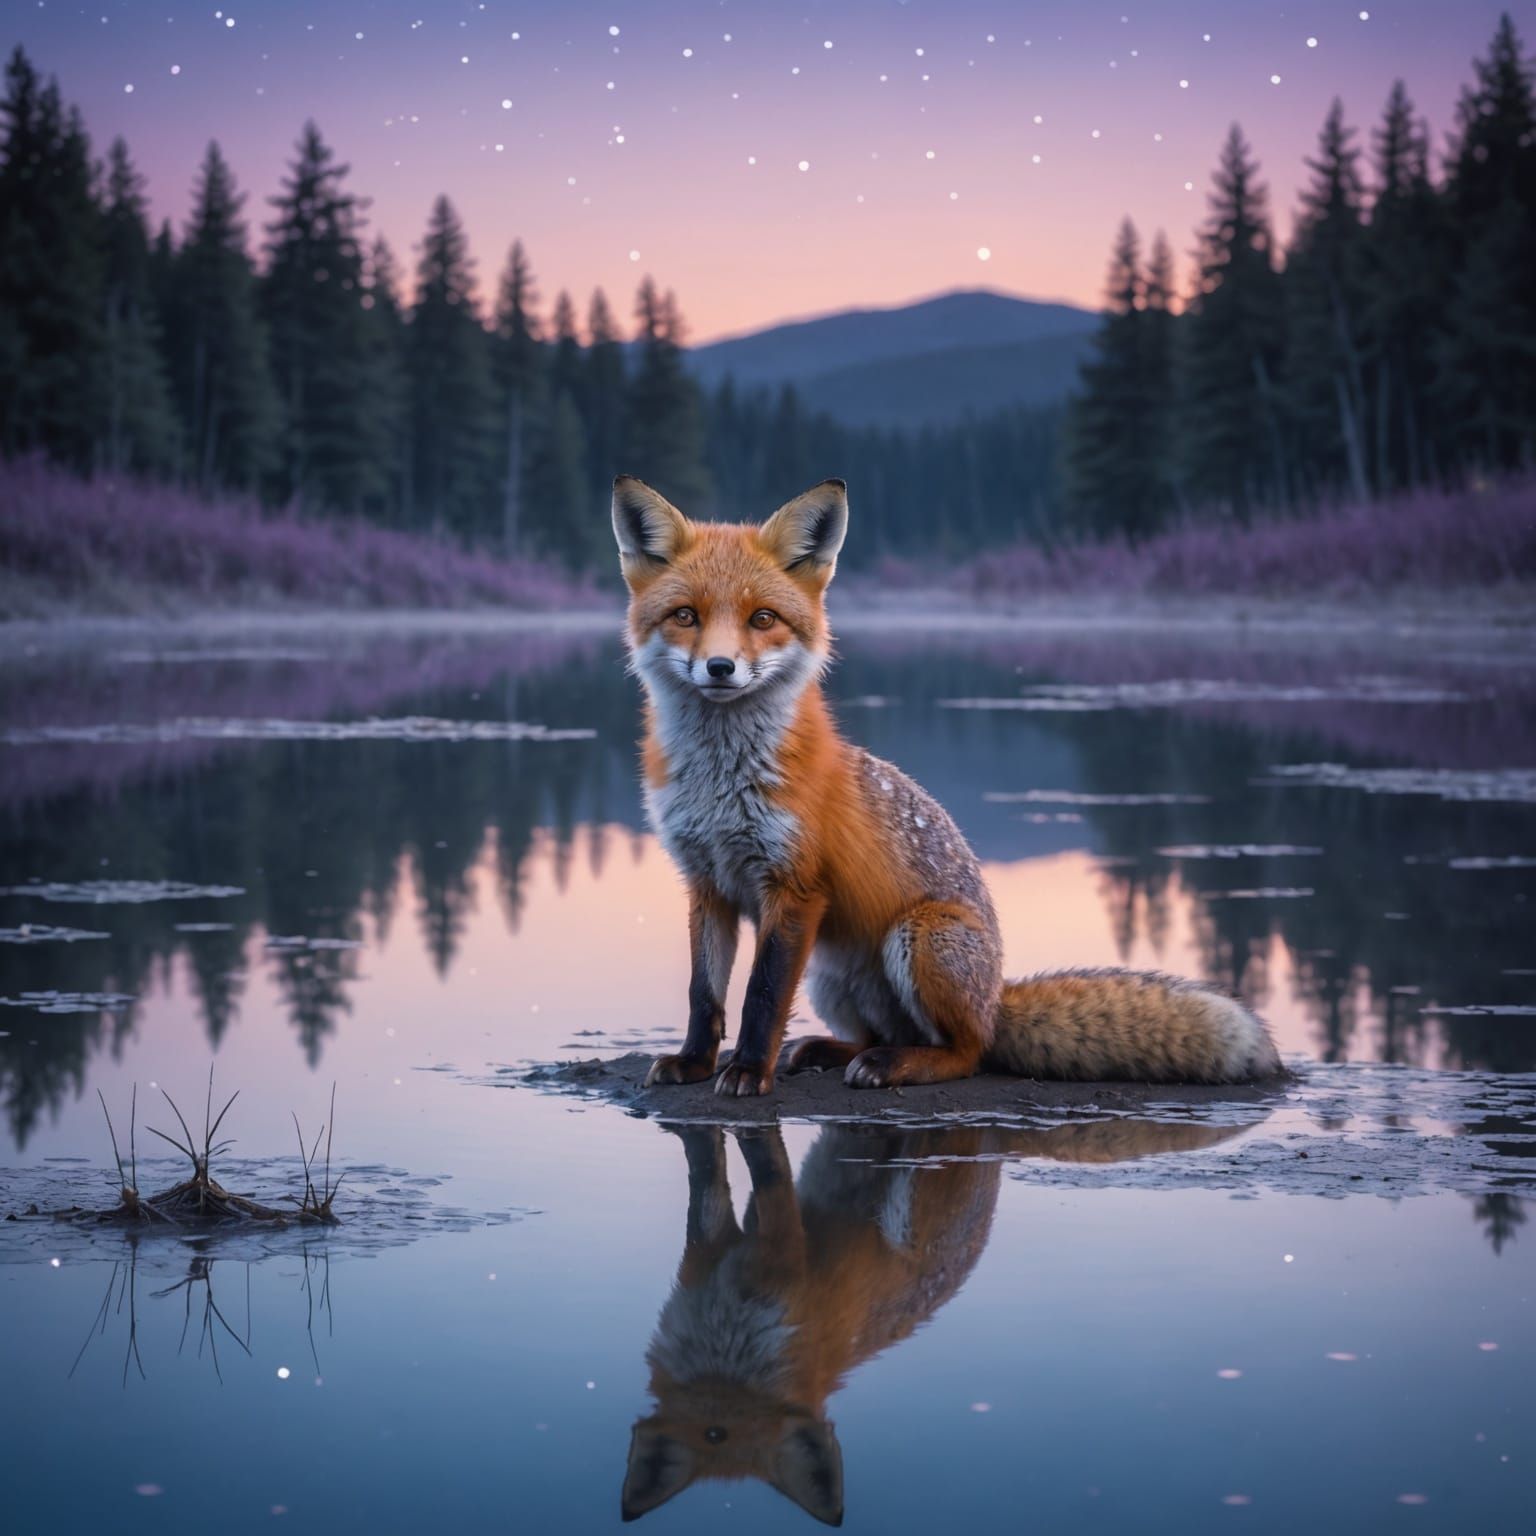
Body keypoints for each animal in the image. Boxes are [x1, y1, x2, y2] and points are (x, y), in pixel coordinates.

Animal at [611, 474, 1282, 1098]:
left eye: (763, 619)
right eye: (686, 616)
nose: (720, 668)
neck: (721, 784)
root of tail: (995, 999)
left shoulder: (793, 888)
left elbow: (762, 996)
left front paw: (750, 1070)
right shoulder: (707, 884)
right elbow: (705, 995)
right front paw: (695, 1063)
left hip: (919, 936)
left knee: (963, 1051)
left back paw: (899, 1065)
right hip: (832, 971)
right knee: (880, 1033)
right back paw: (830, 1051)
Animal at [622, 1117, 1249, 1523]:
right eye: (712, 1434)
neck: (732, 1339)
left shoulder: (782, 1268)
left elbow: (770, 1195)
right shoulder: (702, 1263)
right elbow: (709, 1186)